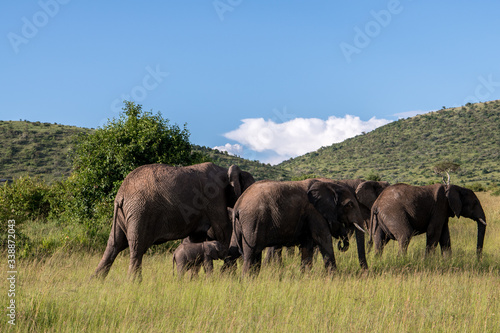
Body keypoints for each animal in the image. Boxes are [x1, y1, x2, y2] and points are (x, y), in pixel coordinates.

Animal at [92, 161, 254, 280]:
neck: (225, 170)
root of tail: (120, 195)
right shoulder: (214, 197)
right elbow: (223, 230)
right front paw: (228, 277)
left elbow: (197, 238)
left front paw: (194, 280)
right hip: (139, 211)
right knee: (136, 247)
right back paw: (134, 283)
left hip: (124, 214)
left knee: (113, 246)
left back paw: (95, 281)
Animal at [228, 179, 368, 274]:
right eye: (349, 205)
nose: (364, 274)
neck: (329, 184)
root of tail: (238, 205)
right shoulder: (315, 212)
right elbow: (324, 239)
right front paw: (333, 277)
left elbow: (307, 246)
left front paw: (305, 276)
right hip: (253, 221)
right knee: (251, 255)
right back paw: (246, 281)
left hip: (242, 225)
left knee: (235, 251)